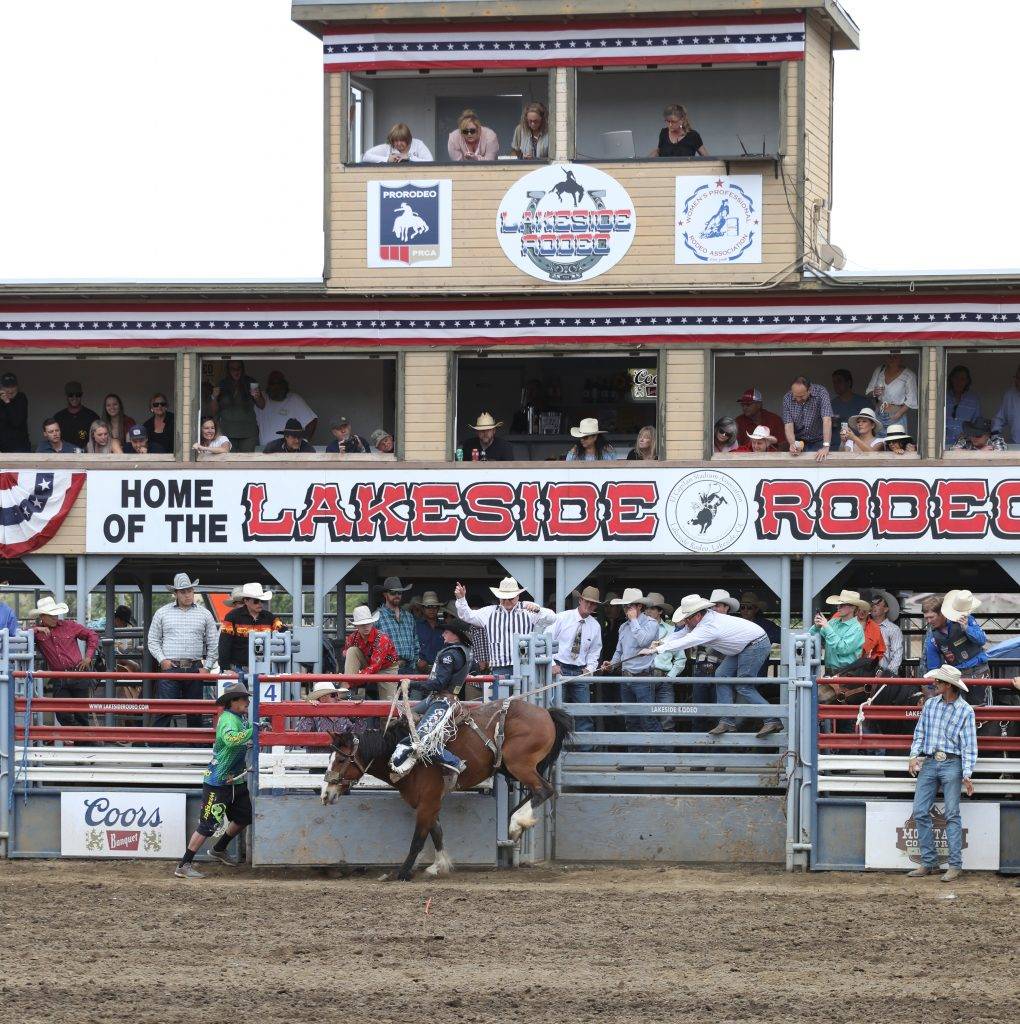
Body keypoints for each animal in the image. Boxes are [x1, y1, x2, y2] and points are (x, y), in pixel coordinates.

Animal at [321, 696, 569, 880]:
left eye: (341, 760)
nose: (325, 794)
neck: (402, 756)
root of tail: (545, 713)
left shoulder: (427, 802)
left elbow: (418, 839)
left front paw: (403, 872)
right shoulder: (429, 804)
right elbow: (436, 832)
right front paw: (438, 865)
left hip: (519, 763)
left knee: (545, 790)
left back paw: (517, 822)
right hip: (508, 766)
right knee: (535, 792)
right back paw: (515, 821)